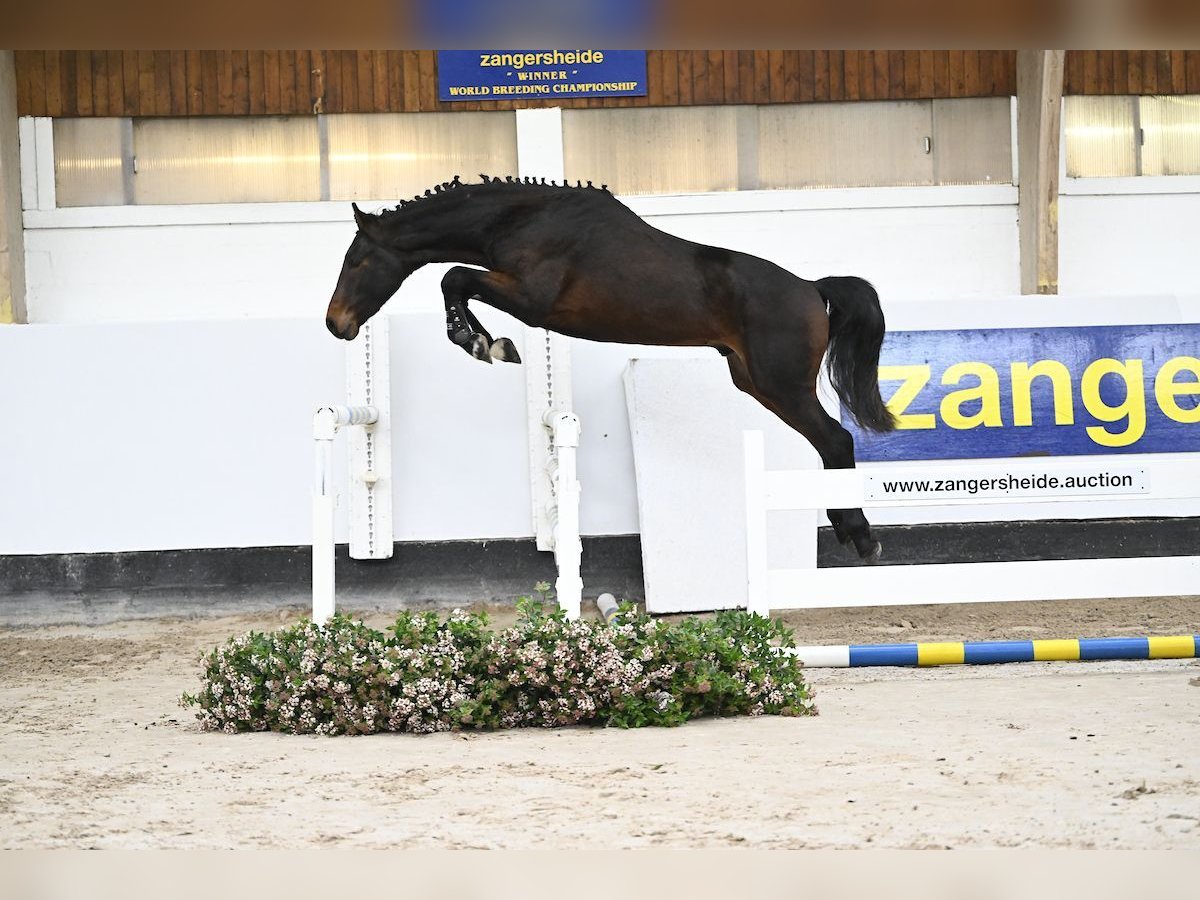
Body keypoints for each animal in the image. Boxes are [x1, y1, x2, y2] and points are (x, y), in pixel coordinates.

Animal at [324, 174, 897, 556]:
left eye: (357, 260)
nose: (336, 324)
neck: (522, 219)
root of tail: (812, 288)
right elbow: (457, 281)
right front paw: (485, 341)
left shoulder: (531, 300)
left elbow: (456, 278)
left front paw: (484, 343)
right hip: (754, 381)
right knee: (827, 443)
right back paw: (847, 528)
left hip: (783, 385)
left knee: (835, 440)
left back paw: (860, 536)